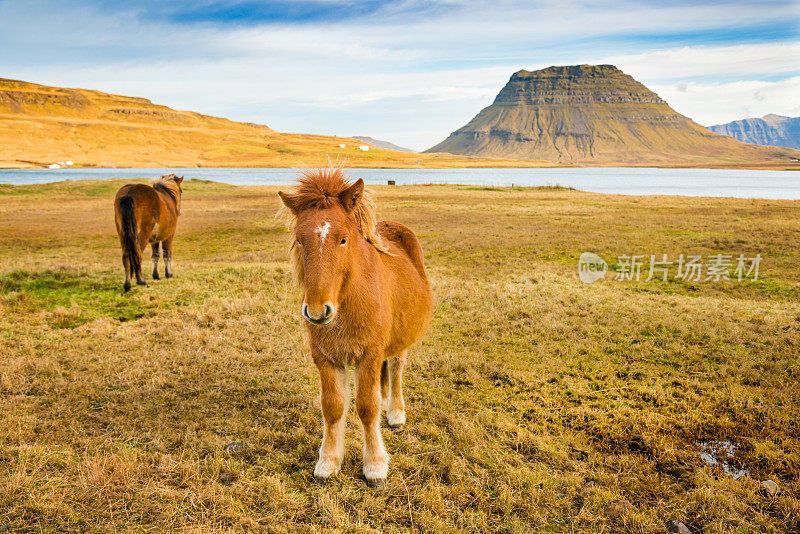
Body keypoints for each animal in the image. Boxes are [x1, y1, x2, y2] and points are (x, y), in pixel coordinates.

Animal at [280, 170, 432, 488]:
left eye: (343, 239)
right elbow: (333, 407)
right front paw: (328, 462)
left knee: (396, 369)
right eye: (299, 239)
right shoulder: (326, 360)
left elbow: (366, 407)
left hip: (400, 342)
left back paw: (396, 414)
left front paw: (375, 466)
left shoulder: (368, 358)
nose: (317, 311)